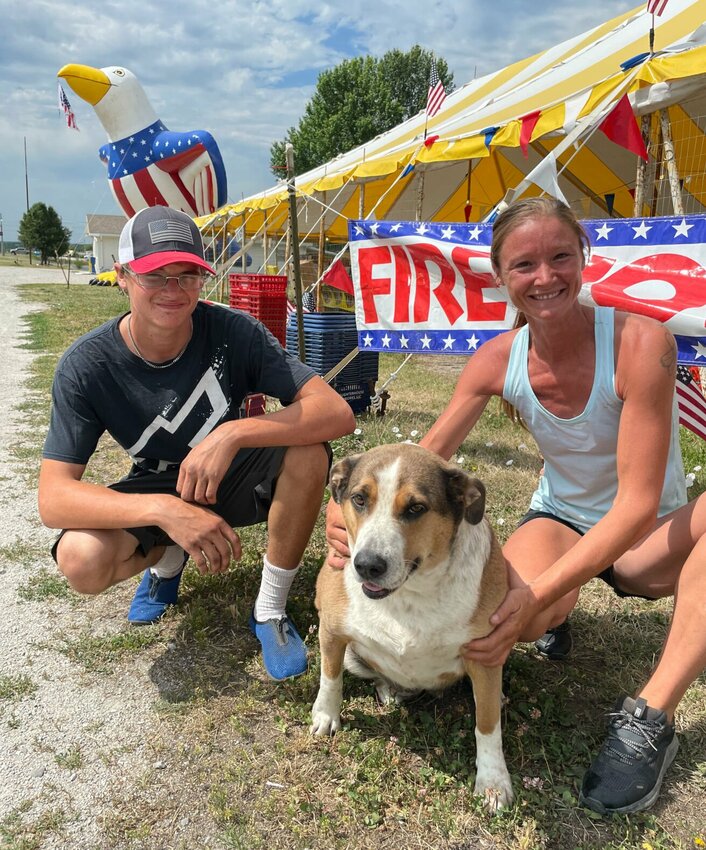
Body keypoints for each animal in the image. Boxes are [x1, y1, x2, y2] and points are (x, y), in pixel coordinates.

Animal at [310, 444, 516, 808]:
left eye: (416, 508)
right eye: (359, 499)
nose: (367, 565)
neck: (411, 593)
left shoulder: (485, 654)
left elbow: (488, 723)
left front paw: (493, 780)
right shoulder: (332, 631)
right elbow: (329, 679)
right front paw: (325, 715)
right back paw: (390, 690)